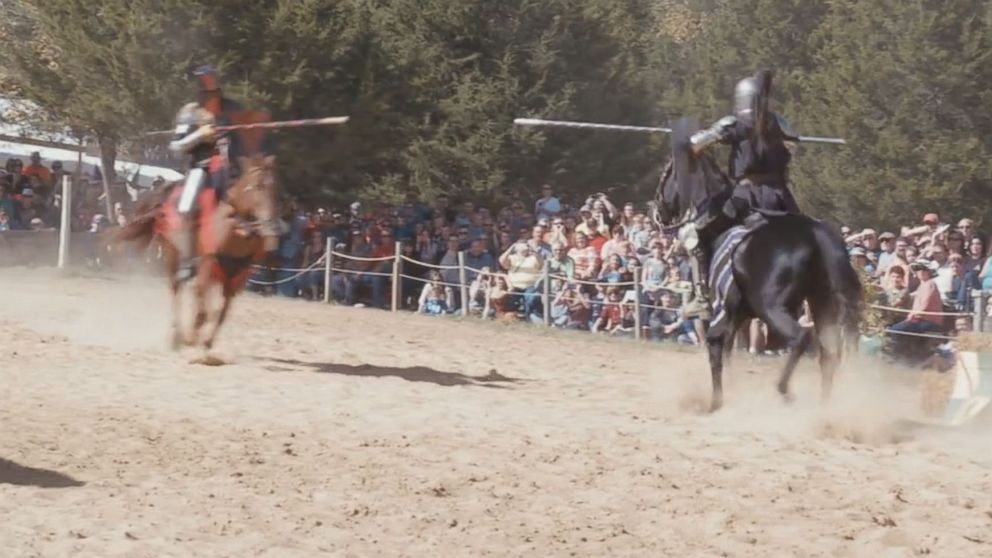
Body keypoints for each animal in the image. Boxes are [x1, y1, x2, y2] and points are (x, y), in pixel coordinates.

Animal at [114, 154, 280, 354]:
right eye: (255, 186)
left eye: (274, 188)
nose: (270, 224)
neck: (236, 233)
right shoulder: (207, 266)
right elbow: (203, 311)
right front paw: (191, 338)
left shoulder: (236, 278)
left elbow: (221, 313)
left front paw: (207, 342)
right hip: (173, 256)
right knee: (177, 290)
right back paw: (177, 337)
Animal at [660, 123, 860, 412]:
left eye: (667, 174)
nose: (657, 211)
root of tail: (814, 233)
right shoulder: (736, 318)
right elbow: (726, 354)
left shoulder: (723, 316)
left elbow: (716, 352)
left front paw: (715, 403)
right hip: (823, 305)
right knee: (828, 352)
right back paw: (824, 407)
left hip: (773, 308)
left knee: (801, 338)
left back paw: (785, 390)